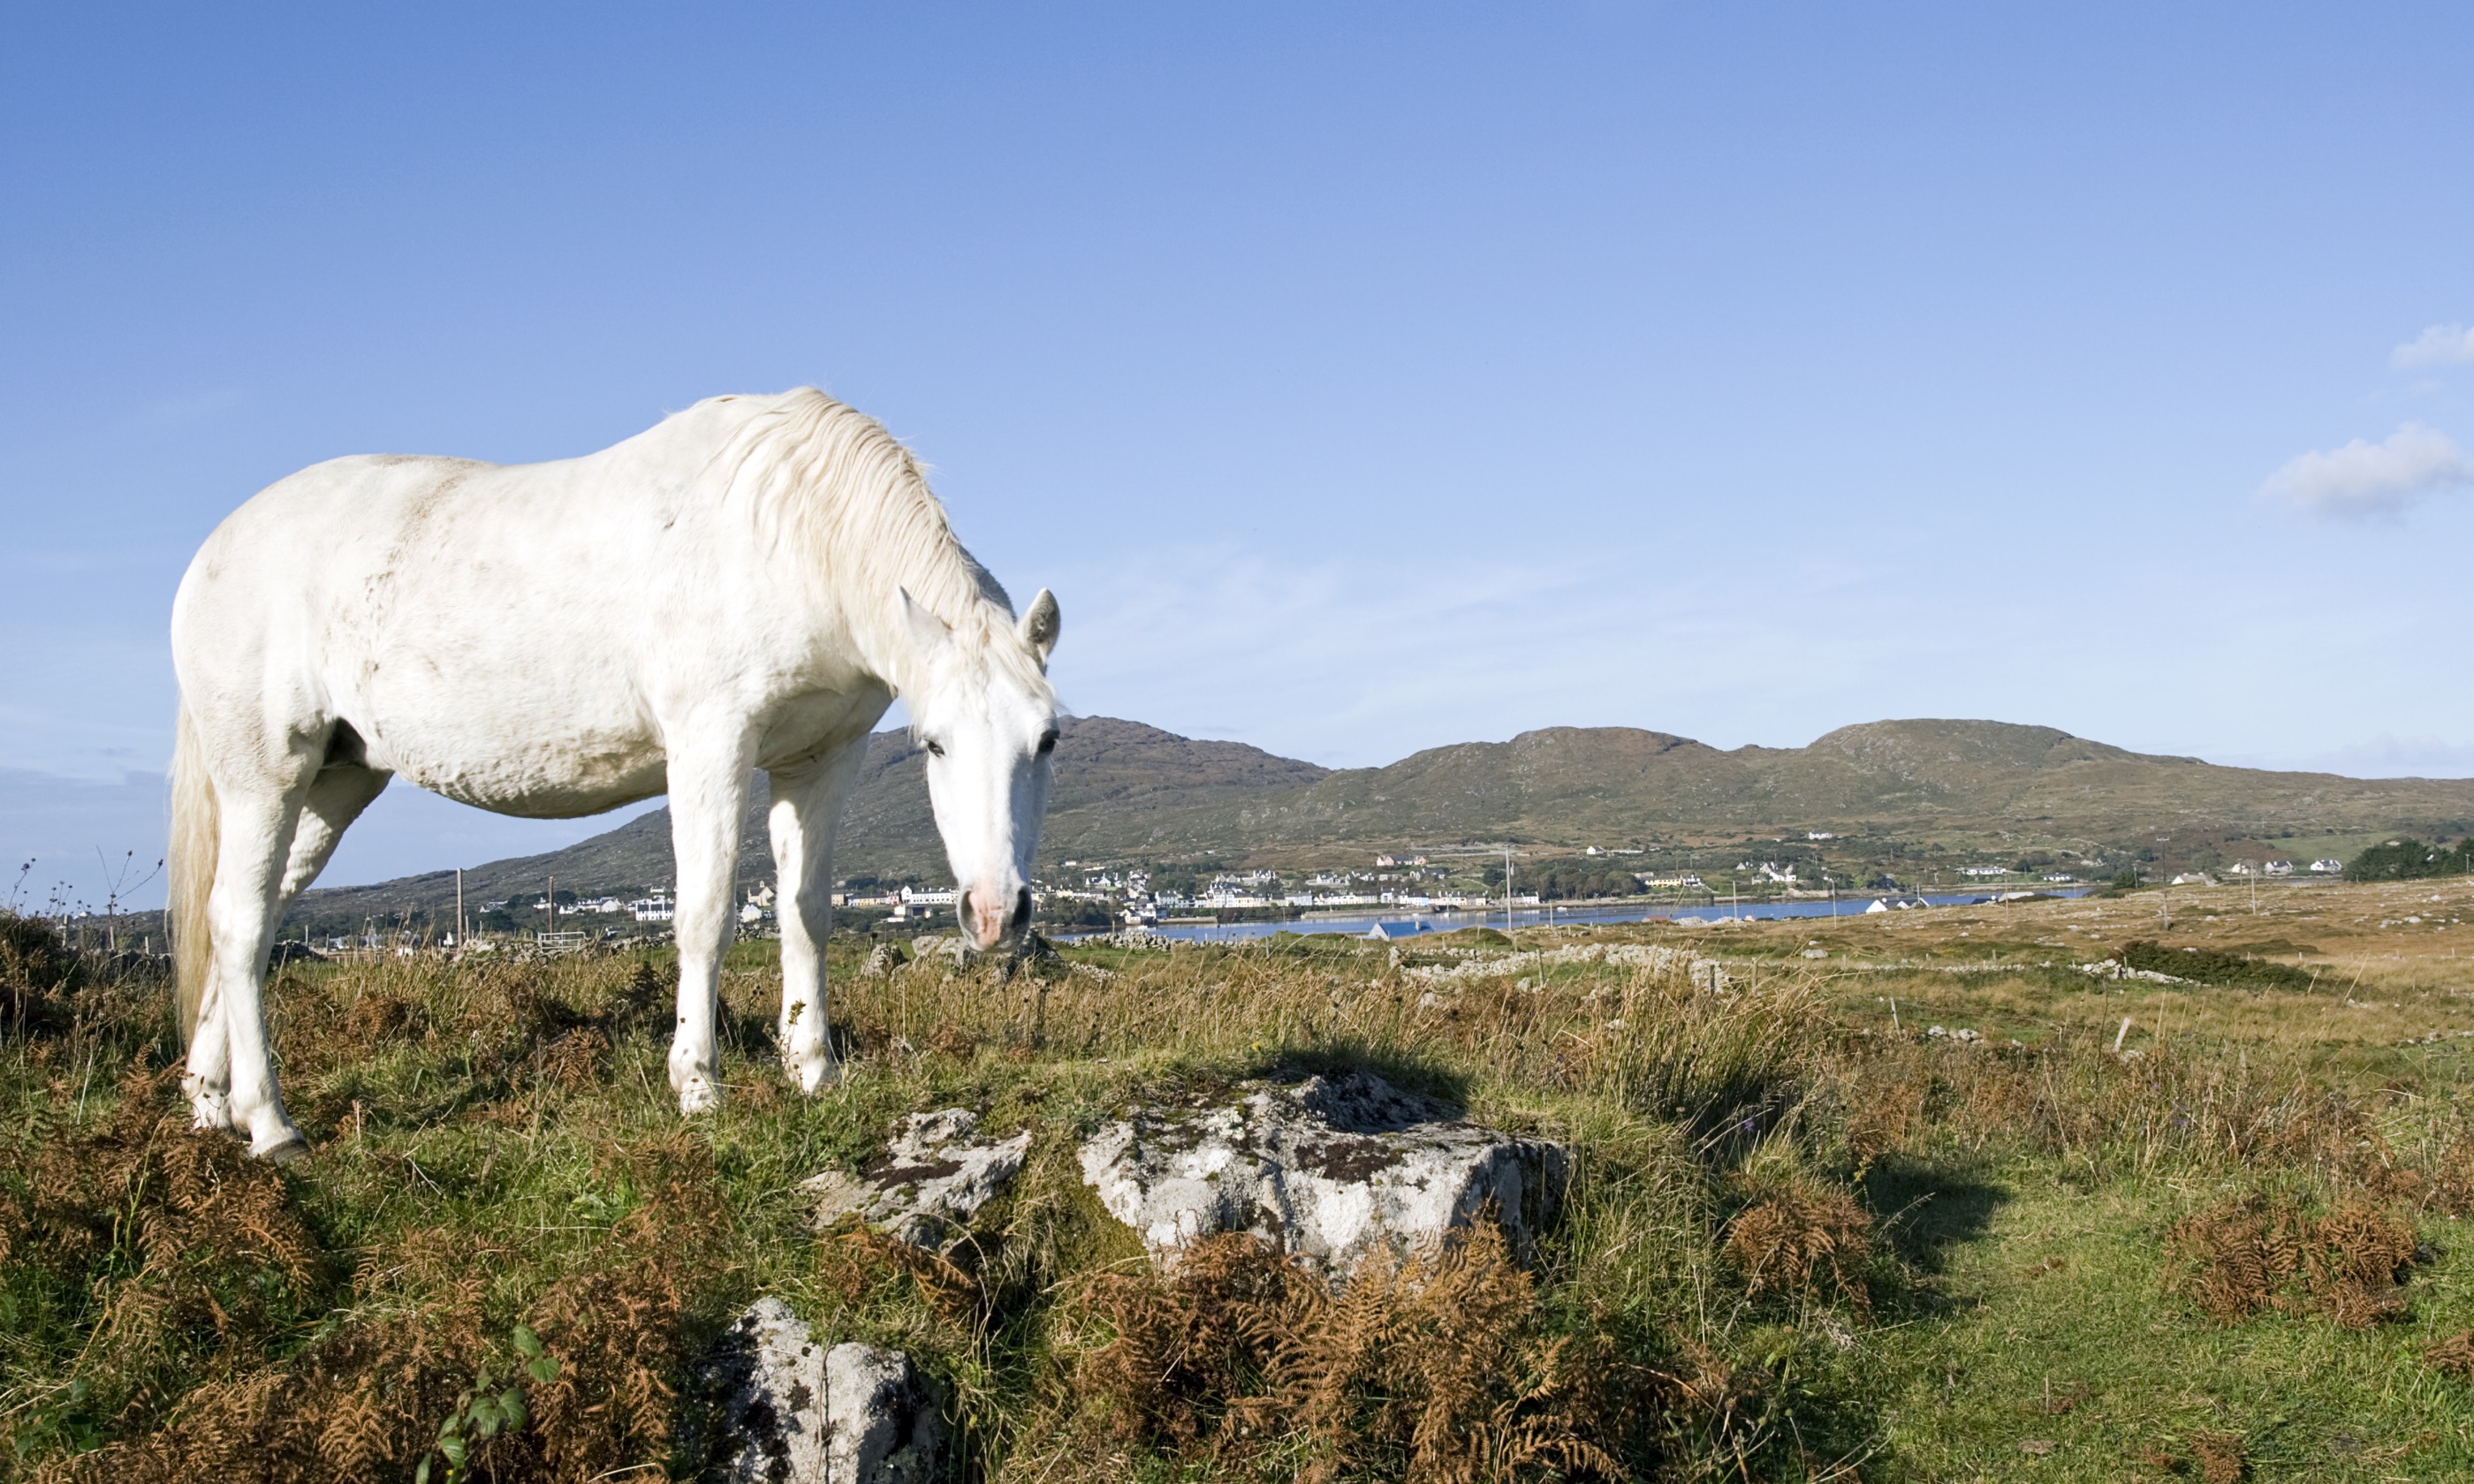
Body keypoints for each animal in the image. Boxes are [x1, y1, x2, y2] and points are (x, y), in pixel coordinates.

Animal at [169, 385, 1059, 1157]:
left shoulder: (819, 762)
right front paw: (698, 1086)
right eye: (935, 744)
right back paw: (271, 1125)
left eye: (1047, 741)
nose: (994, 914)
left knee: (242, 920)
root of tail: (214, 549)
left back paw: (210, 1104)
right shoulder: (710, 743)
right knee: (242, 925)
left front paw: (815, 1073)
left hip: (335, 783)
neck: (792, 533)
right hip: (265, 777)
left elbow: (806, 916)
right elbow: (705, 916)